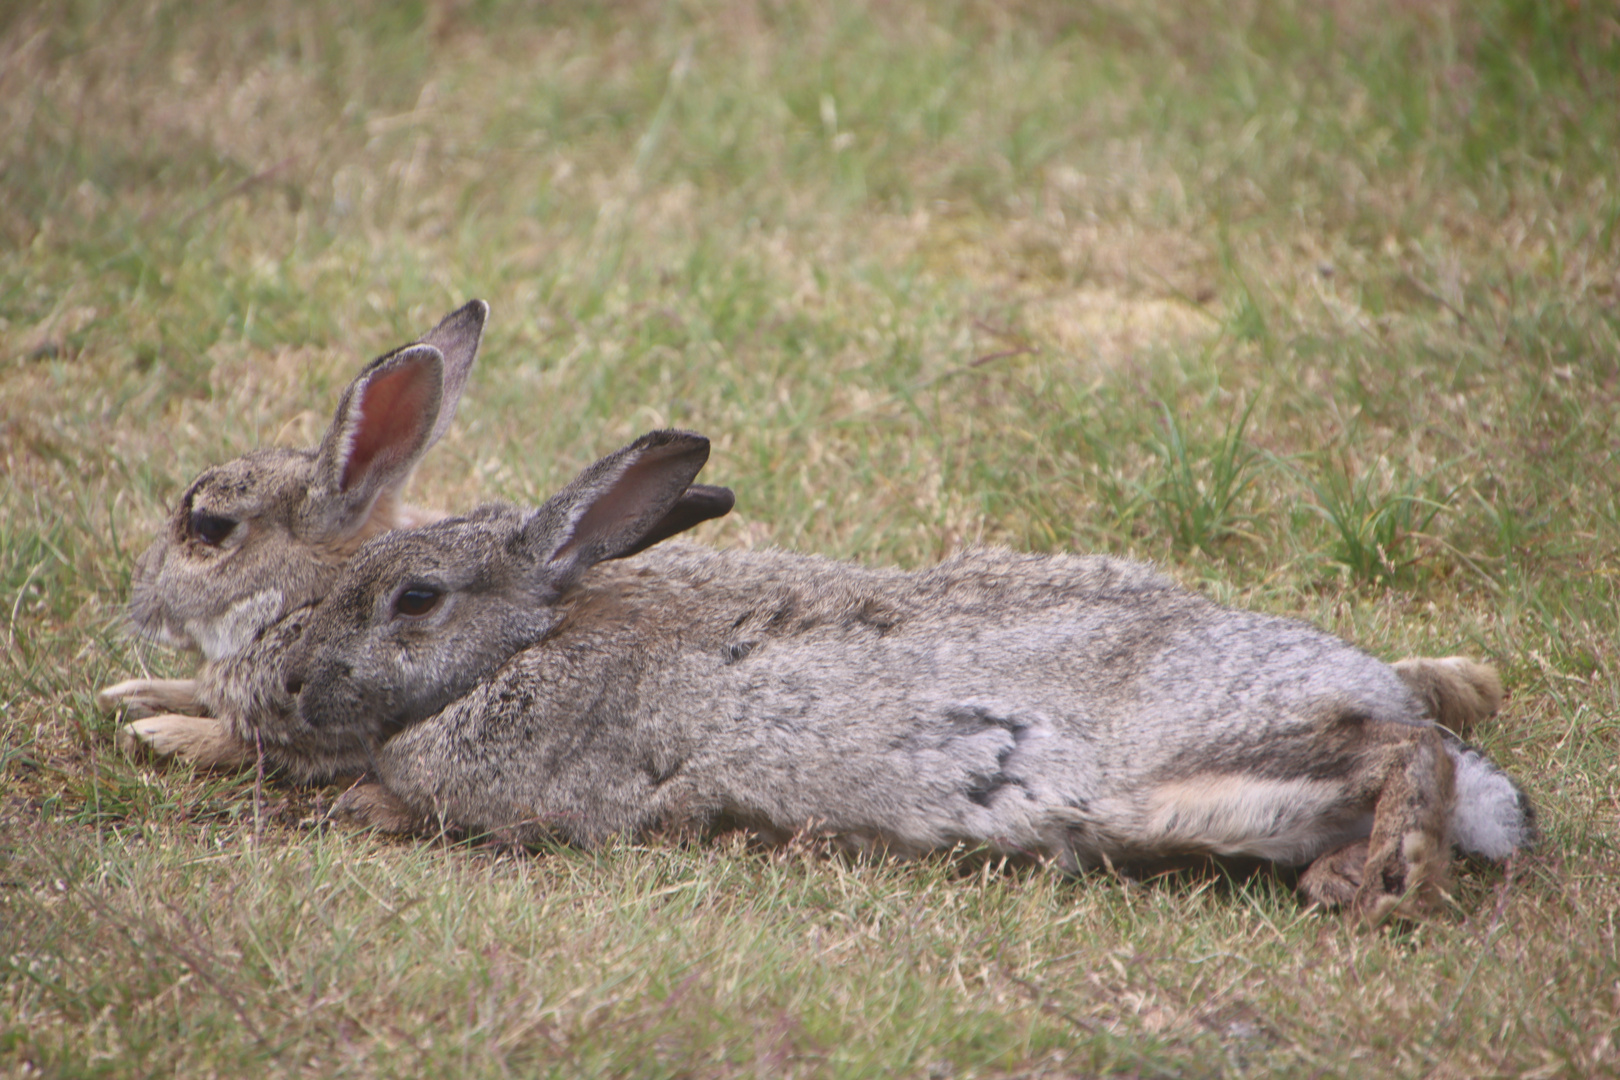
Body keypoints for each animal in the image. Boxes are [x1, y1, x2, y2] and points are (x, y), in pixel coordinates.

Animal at [249, 430, 1529, 919]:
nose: (289, 684)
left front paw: (348, 802)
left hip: (1223, 734)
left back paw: (1397, 871)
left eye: (413, 601)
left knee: (1402, 747)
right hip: (1208, 799)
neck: (527, 640)